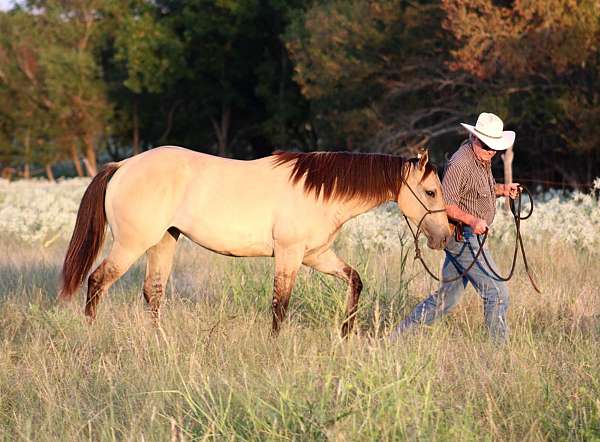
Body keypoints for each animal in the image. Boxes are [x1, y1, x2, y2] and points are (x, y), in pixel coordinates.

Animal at [59, 145, 450, 334]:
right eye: (431, 192)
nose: (445, 236)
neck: (318, 191)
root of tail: (122, 166)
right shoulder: (290, 255)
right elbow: (280, 305)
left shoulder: (316, 255)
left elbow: (355, 280)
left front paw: (346, 331)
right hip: (131, 245)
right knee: (97, 281)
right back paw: (91, 334)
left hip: (163, 243)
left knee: (153, 293)